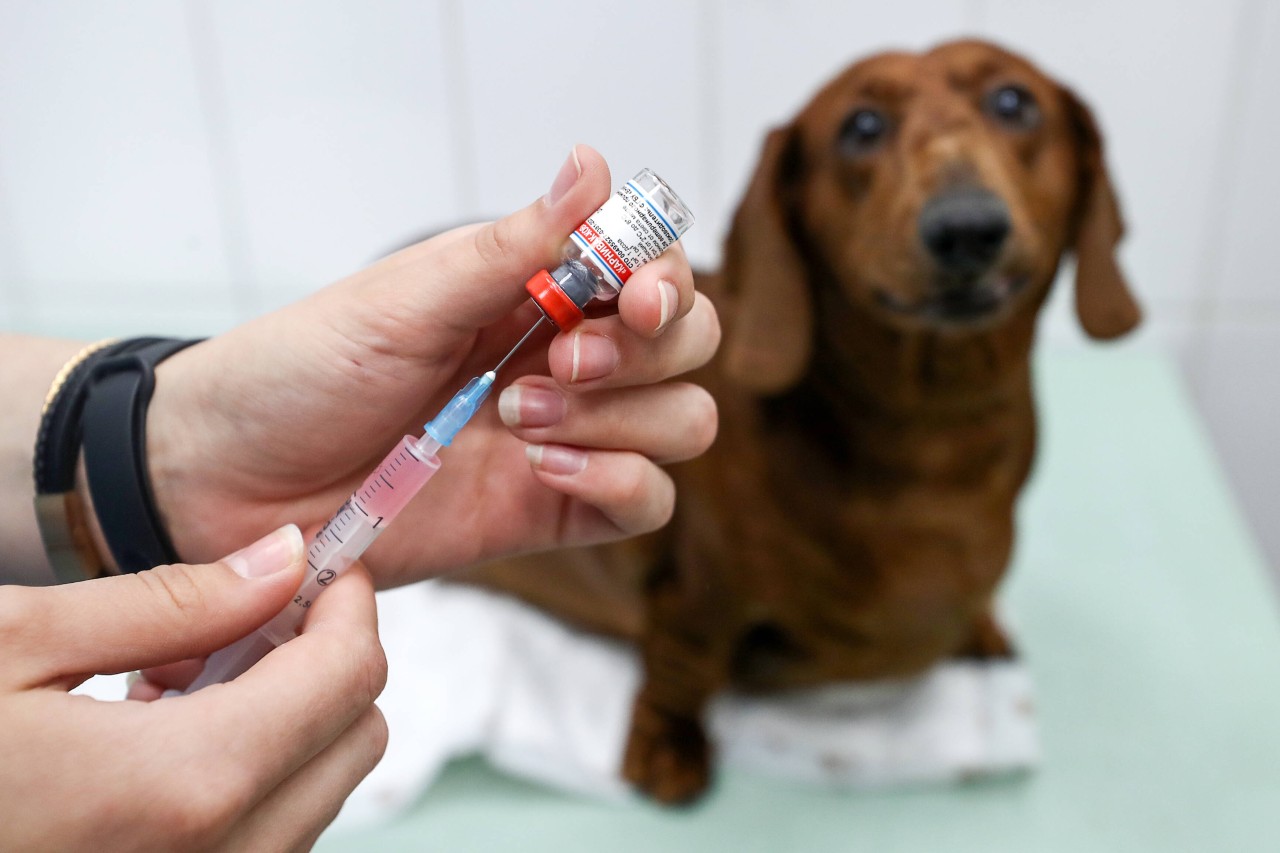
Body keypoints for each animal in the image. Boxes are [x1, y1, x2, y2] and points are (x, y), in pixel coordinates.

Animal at [458, 38, 1141, 799]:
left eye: (1014, 101)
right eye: (862, 125)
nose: (966, 227)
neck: (934, 443)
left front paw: (984, 630)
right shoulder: (696, 598)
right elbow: (683, 665)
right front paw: (666, 746)